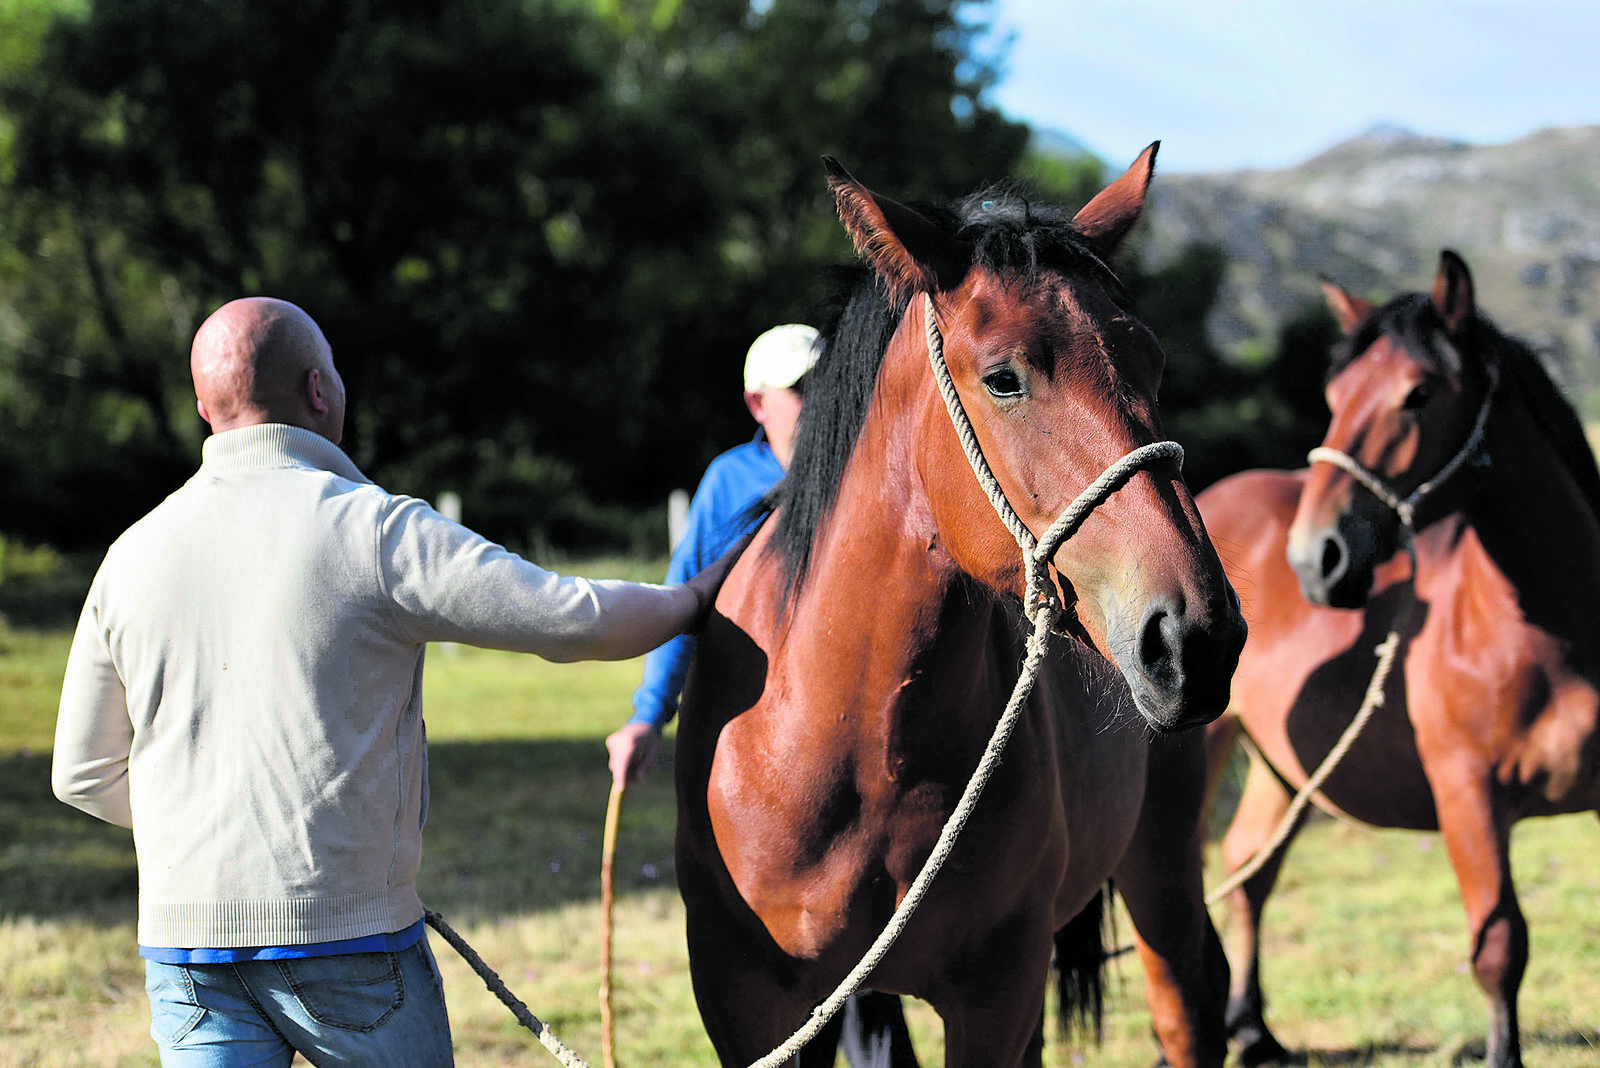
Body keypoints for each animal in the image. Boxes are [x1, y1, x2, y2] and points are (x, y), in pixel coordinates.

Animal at [668, 143, 1241, 1068]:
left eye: (1153, 364)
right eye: (1004, 379)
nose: (1198, 637)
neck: (852, 741)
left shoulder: (994, 992)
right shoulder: (754, 1003)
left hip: (1163, 871)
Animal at [1203, 252, 1600, 1068]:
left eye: (1419, 394)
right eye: (1333, 396)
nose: (1315, 559)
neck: (1551, 634)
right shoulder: (1467, 797)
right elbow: (1499, 949)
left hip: (1281, 767)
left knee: (1249, 866)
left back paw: (1253, 1030)